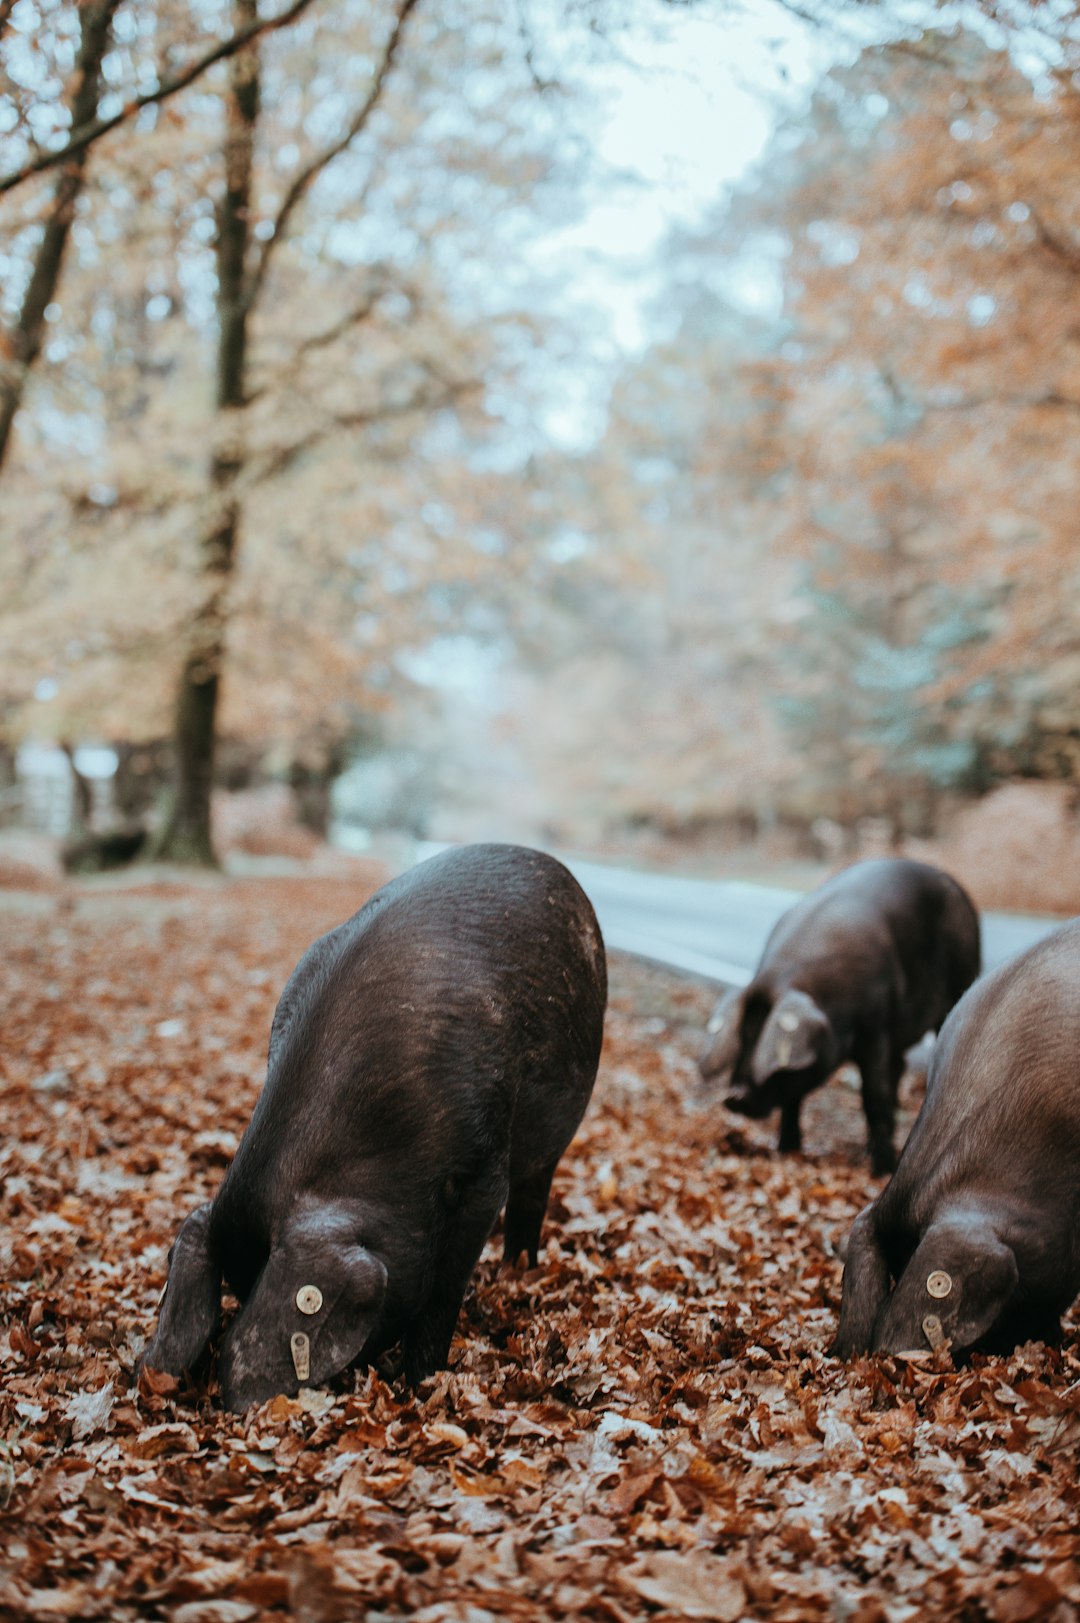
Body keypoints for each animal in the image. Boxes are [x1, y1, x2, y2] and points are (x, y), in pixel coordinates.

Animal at [697, 859, 980, 1174]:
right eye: (744, 1036)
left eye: (763, 1043)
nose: (734, 1096)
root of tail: (957, 888)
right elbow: (792, 1100)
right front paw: (787, 1150)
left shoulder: (876, 1028)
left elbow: (873, 1096)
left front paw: (881, 1171)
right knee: (899, 1067)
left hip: (959, 983)